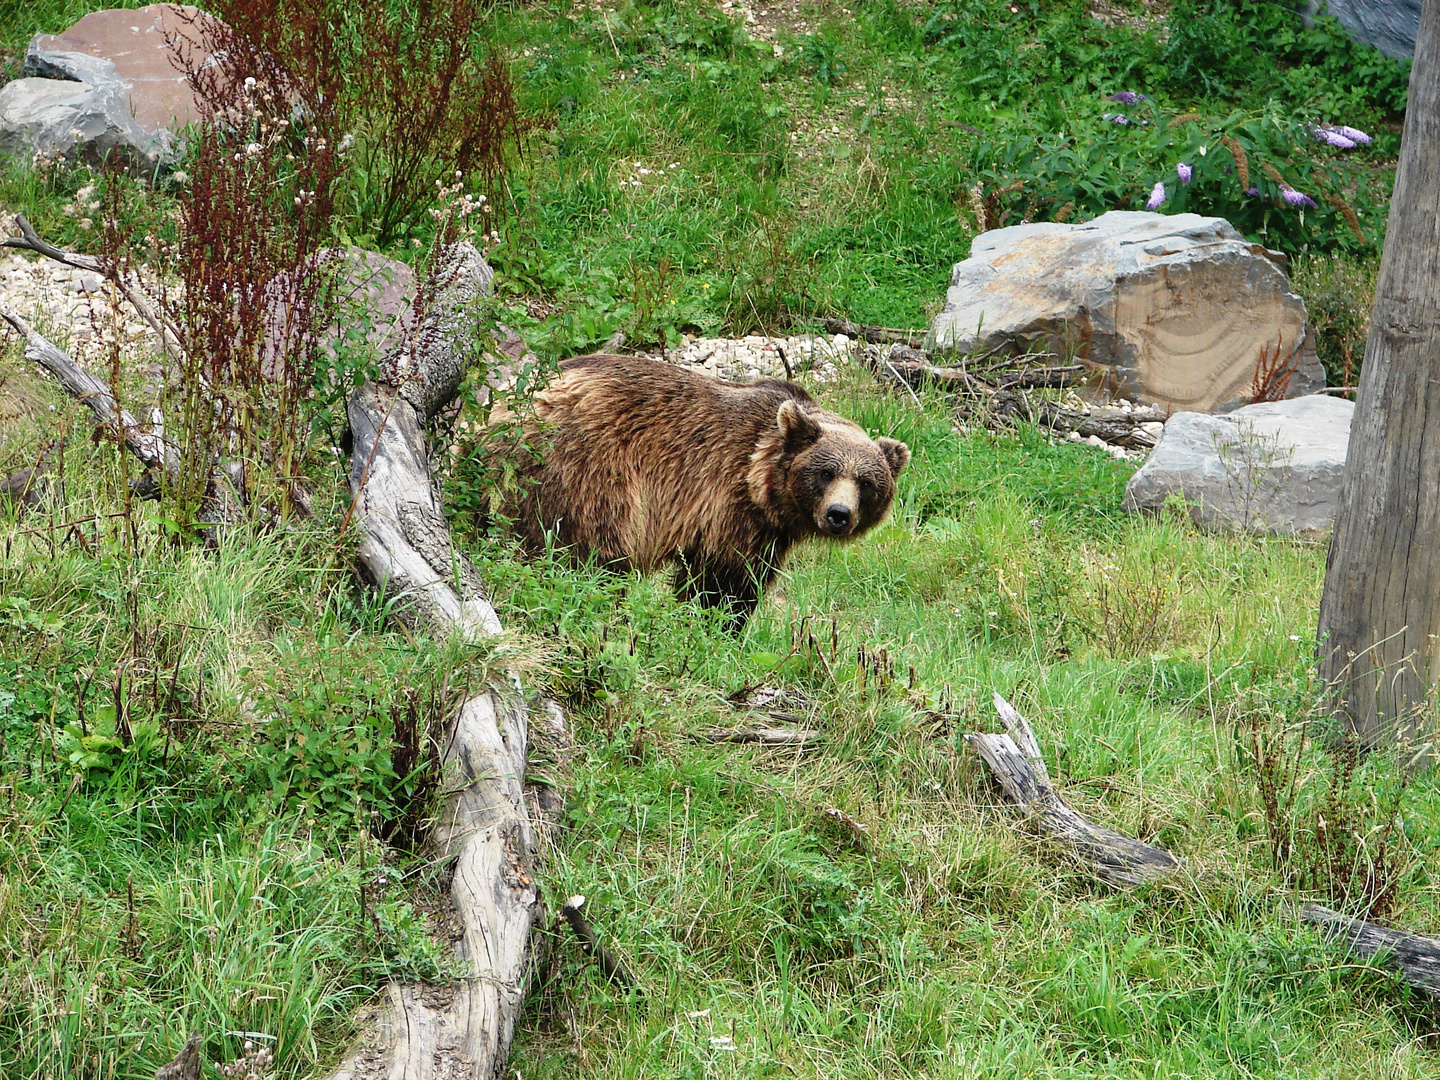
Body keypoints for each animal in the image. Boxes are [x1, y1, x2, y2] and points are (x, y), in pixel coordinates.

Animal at [489, 355, 904, 630]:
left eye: (866, 483)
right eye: (825, 472)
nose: (839, 514)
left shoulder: (767, 527)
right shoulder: (727, 503)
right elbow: (725, 581)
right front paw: (716, 624)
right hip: (589, 468)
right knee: (592, 550)